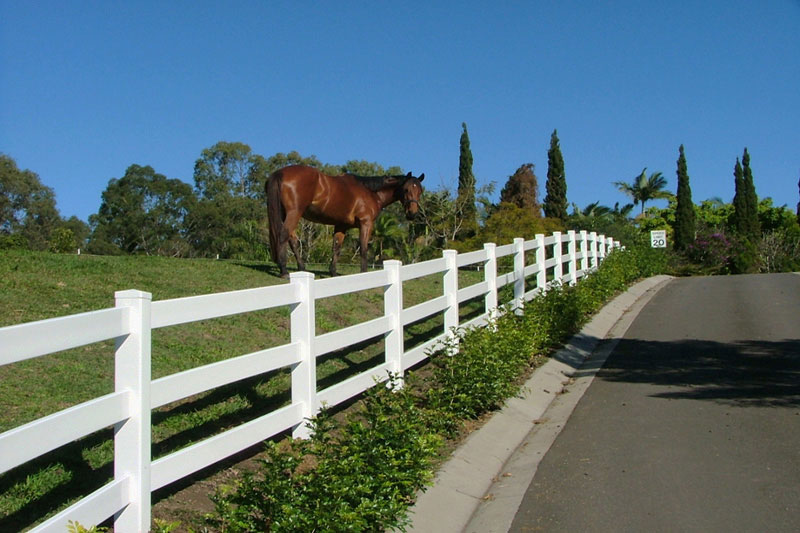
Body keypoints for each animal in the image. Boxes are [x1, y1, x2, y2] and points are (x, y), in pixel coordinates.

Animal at [266, 164, 422, 276]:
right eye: (406, 189)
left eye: (420, 191)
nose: (412, 214)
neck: (370, 191)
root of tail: (280, 173)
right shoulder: (366, 223)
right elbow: (363, 248)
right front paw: (364, 273)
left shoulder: (341, 226)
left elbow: (336, 247)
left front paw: (333, 272)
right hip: (294, 214)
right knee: (283, 236)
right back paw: (284, 270)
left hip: (287, 215)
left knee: (292, 240)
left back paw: (301, 267)